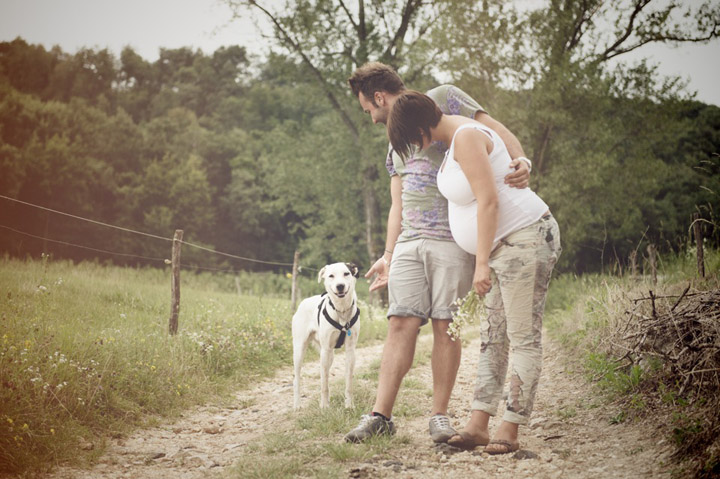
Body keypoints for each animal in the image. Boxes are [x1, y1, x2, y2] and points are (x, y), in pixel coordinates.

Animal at [292, 262, 360, 408]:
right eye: (331, 276)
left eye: (346, 273)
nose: (340, 286)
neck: (341, 310)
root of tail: (303, 302)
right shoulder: (325, 350)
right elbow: (324, 384)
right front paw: (324, 406)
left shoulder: (350, 350)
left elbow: (349, 382)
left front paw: (349, 405)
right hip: (300, 350)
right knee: (297, 378)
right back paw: (297, 404)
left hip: (330, 356)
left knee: (326, 372)